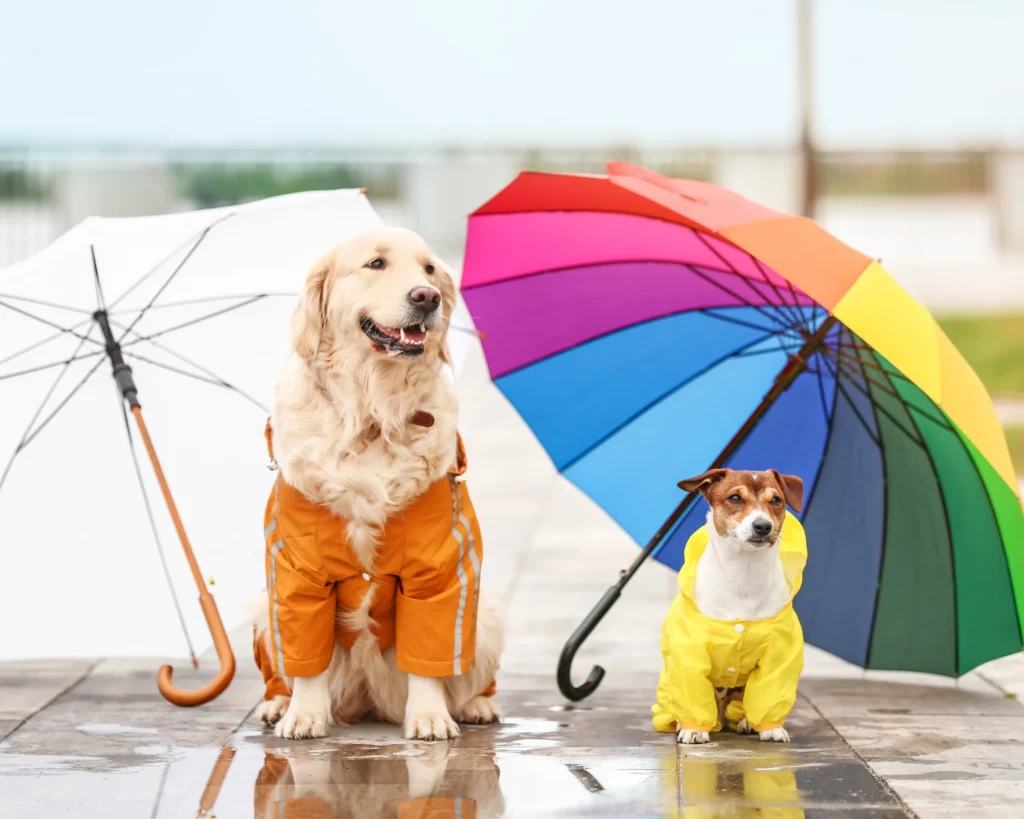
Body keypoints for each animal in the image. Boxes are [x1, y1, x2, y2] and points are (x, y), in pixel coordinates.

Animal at [256, 227, 503, 737]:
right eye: (375, 264)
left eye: (429, 270)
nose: (427, 297)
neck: (371, 413)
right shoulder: (295, 574)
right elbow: (307, 660)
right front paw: (304, 714)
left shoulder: (441, 571)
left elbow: (428, 657)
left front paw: (429, 717)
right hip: (260, 612)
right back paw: (276, 704)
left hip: (487, 615)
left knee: (469, 674)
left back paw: (475, 705)